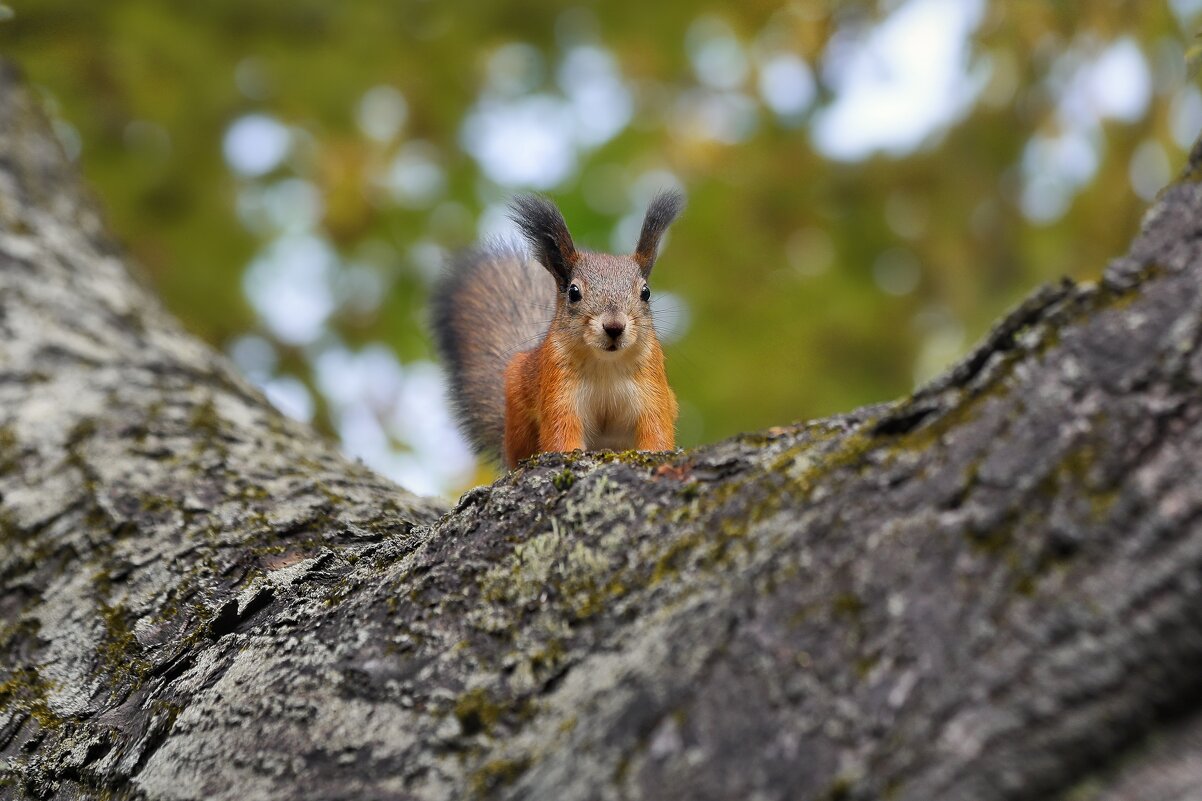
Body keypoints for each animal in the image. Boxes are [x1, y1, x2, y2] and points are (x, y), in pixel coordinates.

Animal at [432, 192, 682, 469]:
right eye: (573, 292)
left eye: (645, 292)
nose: (614, 327)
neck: (605, 364)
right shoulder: (559, 390)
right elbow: (561, 432)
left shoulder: (651, 388)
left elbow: (656, 430)